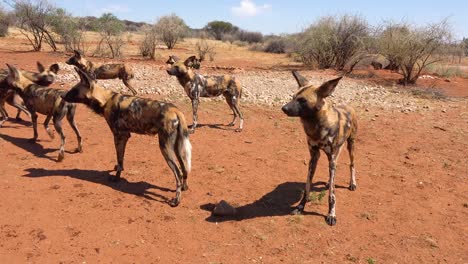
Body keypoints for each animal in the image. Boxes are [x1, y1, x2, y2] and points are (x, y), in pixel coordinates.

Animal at [61, 67, 192, 206]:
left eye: (74, 90)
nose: (62, 95)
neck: (105, 100)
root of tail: (176, 110)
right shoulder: (125, 136)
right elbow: (121, 161)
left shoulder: (119, 136)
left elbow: (119, 160)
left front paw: (116, 177)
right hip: (177, 148)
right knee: (184, 168)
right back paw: (184, 187)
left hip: (165, 148)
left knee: (178, 173)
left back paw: (176, 200)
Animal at [282, 70, 358, 227]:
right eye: (293, 97)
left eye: (302, 100)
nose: (283, 108)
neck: (316, 126)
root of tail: (349, 106)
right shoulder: (314, 157)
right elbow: (307, 187)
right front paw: (300, 207)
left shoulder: (331, 157)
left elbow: (332, 195)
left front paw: (331, 214)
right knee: (334, 173)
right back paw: (330, 182)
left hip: (350, 146)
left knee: (352, 164)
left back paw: (352, 183)